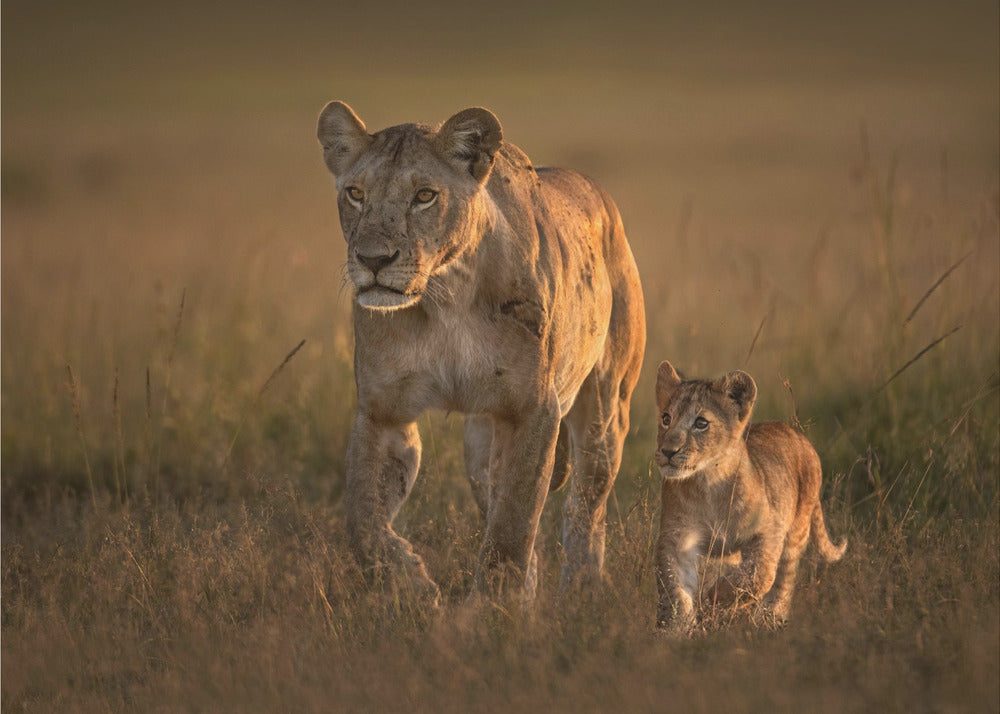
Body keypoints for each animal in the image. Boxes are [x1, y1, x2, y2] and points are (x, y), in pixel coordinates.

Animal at [316, 101, 646, 604]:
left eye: (425, 196)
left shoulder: (533, 409)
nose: (372, 260)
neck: (444, 296)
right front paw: (412, 586)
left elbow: (512, 526)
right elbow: (363, 521)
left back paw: (581, 592)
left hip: (606, 409)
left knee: (587, 506)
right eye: (355, 193)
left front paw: (493, 610)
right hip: (479, 443)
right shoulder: (382, 411)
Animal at [653, 360, 846, 631]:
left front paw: (715, 596)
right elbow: (675, 589)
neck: (708, 483)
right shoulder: (677, 539)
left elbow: (760, 573)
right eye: (666, 418)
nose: (668, 451)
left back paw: (770, 618)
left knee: (783, 580)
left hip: (797, 530)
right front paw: (675, 628)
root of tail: (797, 434)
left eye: (701, 423)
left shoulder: (769, 529)